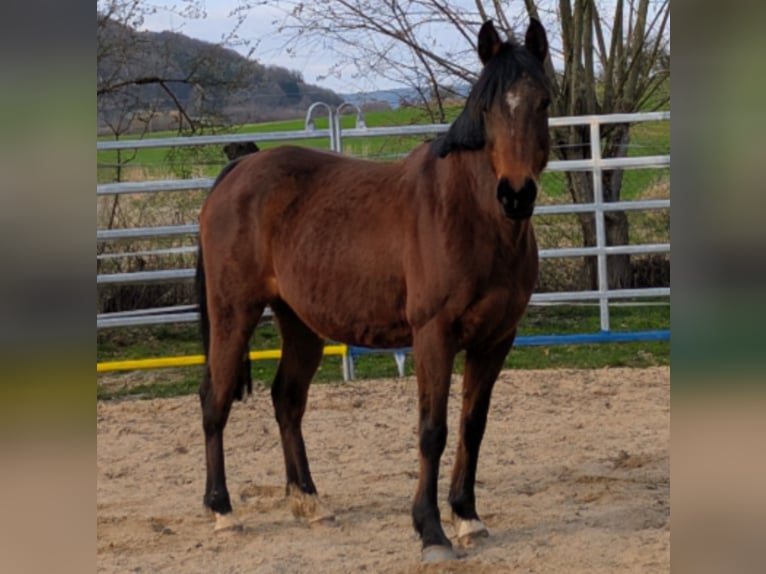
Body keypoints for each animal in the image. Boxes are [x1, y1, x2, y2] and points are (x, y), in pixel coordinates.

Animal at [195, 18, 551, 562]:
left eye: (544, 102)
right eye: (488, 108)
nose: (516, 194)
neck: (469, 214)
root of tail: (238, 173)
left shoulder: (496, 340)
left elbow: (473, 426)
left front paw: (467, 517)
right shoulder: (433, 336)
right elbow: (433, 430)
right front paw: (431, 531)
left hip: (300, 323)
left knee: (287, 400)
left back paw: (309, 502)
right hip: (233, 312)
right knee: (215, 398)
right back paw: (222, 510)